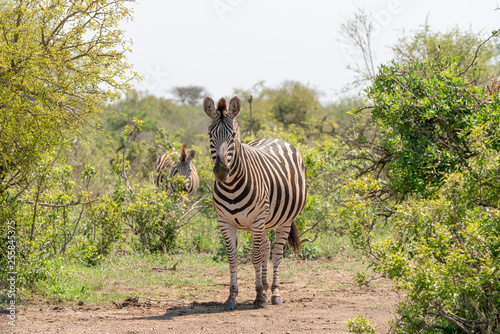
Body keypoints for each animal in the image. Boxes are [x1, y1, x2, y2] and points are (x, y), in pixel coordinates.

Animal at [204, 96, 306, 310]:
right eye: (210, 134)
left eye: (233, 135)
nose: (221, 172)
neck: (231, 187)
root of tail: (275, 138)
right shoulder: (225, 222)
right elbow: (233, 259)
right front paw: (232, 297)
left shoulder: (257, 220)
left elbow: (256, 257)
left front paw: (258, 296)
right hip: (266, 221)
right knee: (266, 248)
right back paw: (266, 287)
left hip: (282, 221)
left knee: (275, 254)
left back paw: (274, 292)